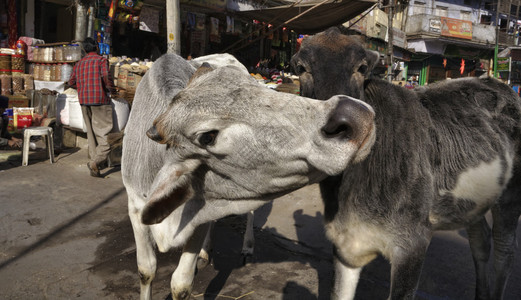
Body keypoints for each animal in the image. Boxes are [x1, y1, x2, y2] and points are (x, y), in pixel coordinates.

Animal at [121, 54, 374, 300]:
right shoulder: (135, 209)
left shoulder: (199, 216)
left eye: (255, 87)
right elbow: (146, 271)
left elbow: (181, 285)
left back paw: (245, 247)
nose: (354, 114)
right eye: (207, 137)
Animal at [290, 27, 520, 298]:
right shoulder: (345, 244)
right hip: (474, 200)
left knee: (505, 251)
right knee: (480, 240)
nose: (341, 125)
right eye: (301, 67)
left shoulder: (413, 243)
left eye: (361, 67)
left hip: (511, 195)